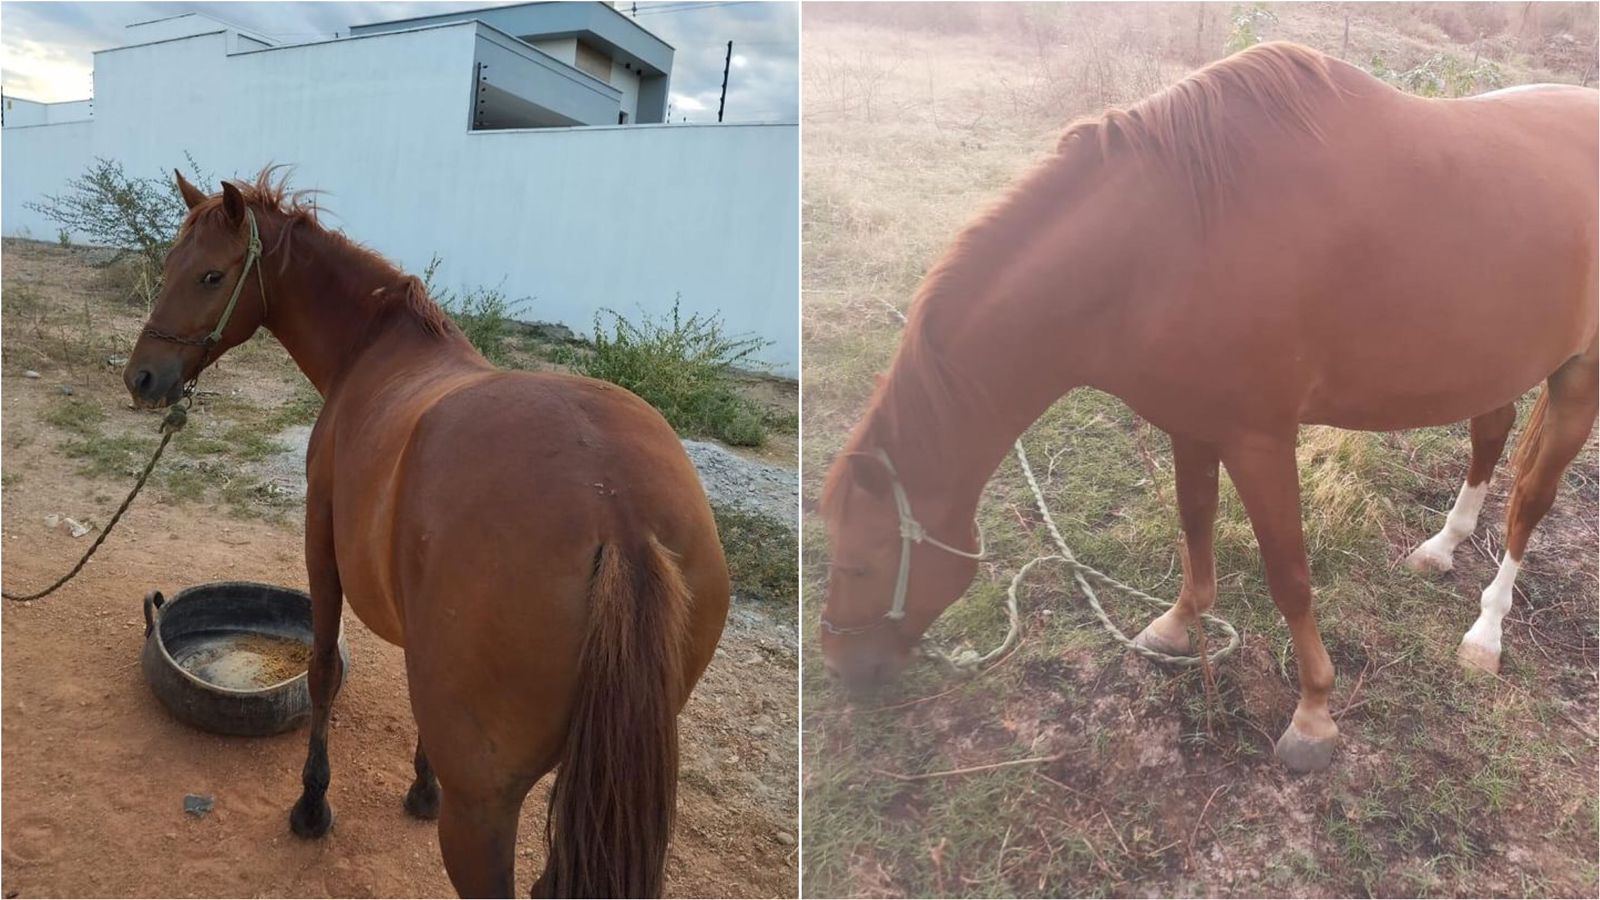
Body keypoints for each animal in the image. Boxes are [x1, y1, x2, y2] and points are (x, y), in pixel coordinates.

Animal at [123, 169, 730, 896]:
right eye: (170, 267)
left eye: (211, 276)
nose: (141, 378)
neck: (378, 349)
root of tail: (620, 518)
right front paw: (421, 788)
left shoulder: (320, 547)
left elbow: (323, 673)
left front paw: (312, 804)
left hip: (484, 813)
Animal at [817, 42, 1597, 773]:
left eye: (858, 565)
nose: (844, 670)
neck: (1172, 241)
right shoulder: (1191, 424)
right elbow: (1194, 524)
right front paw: (1177, 624)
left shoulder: (1259, 439)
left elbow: (1289, 575)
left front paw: (1313, 715)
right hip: (1495, 362)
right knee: (1490, 436)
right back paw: (1441, 546)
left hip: (1578, 378)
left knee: (1532, 500)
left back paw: (1486, 632)